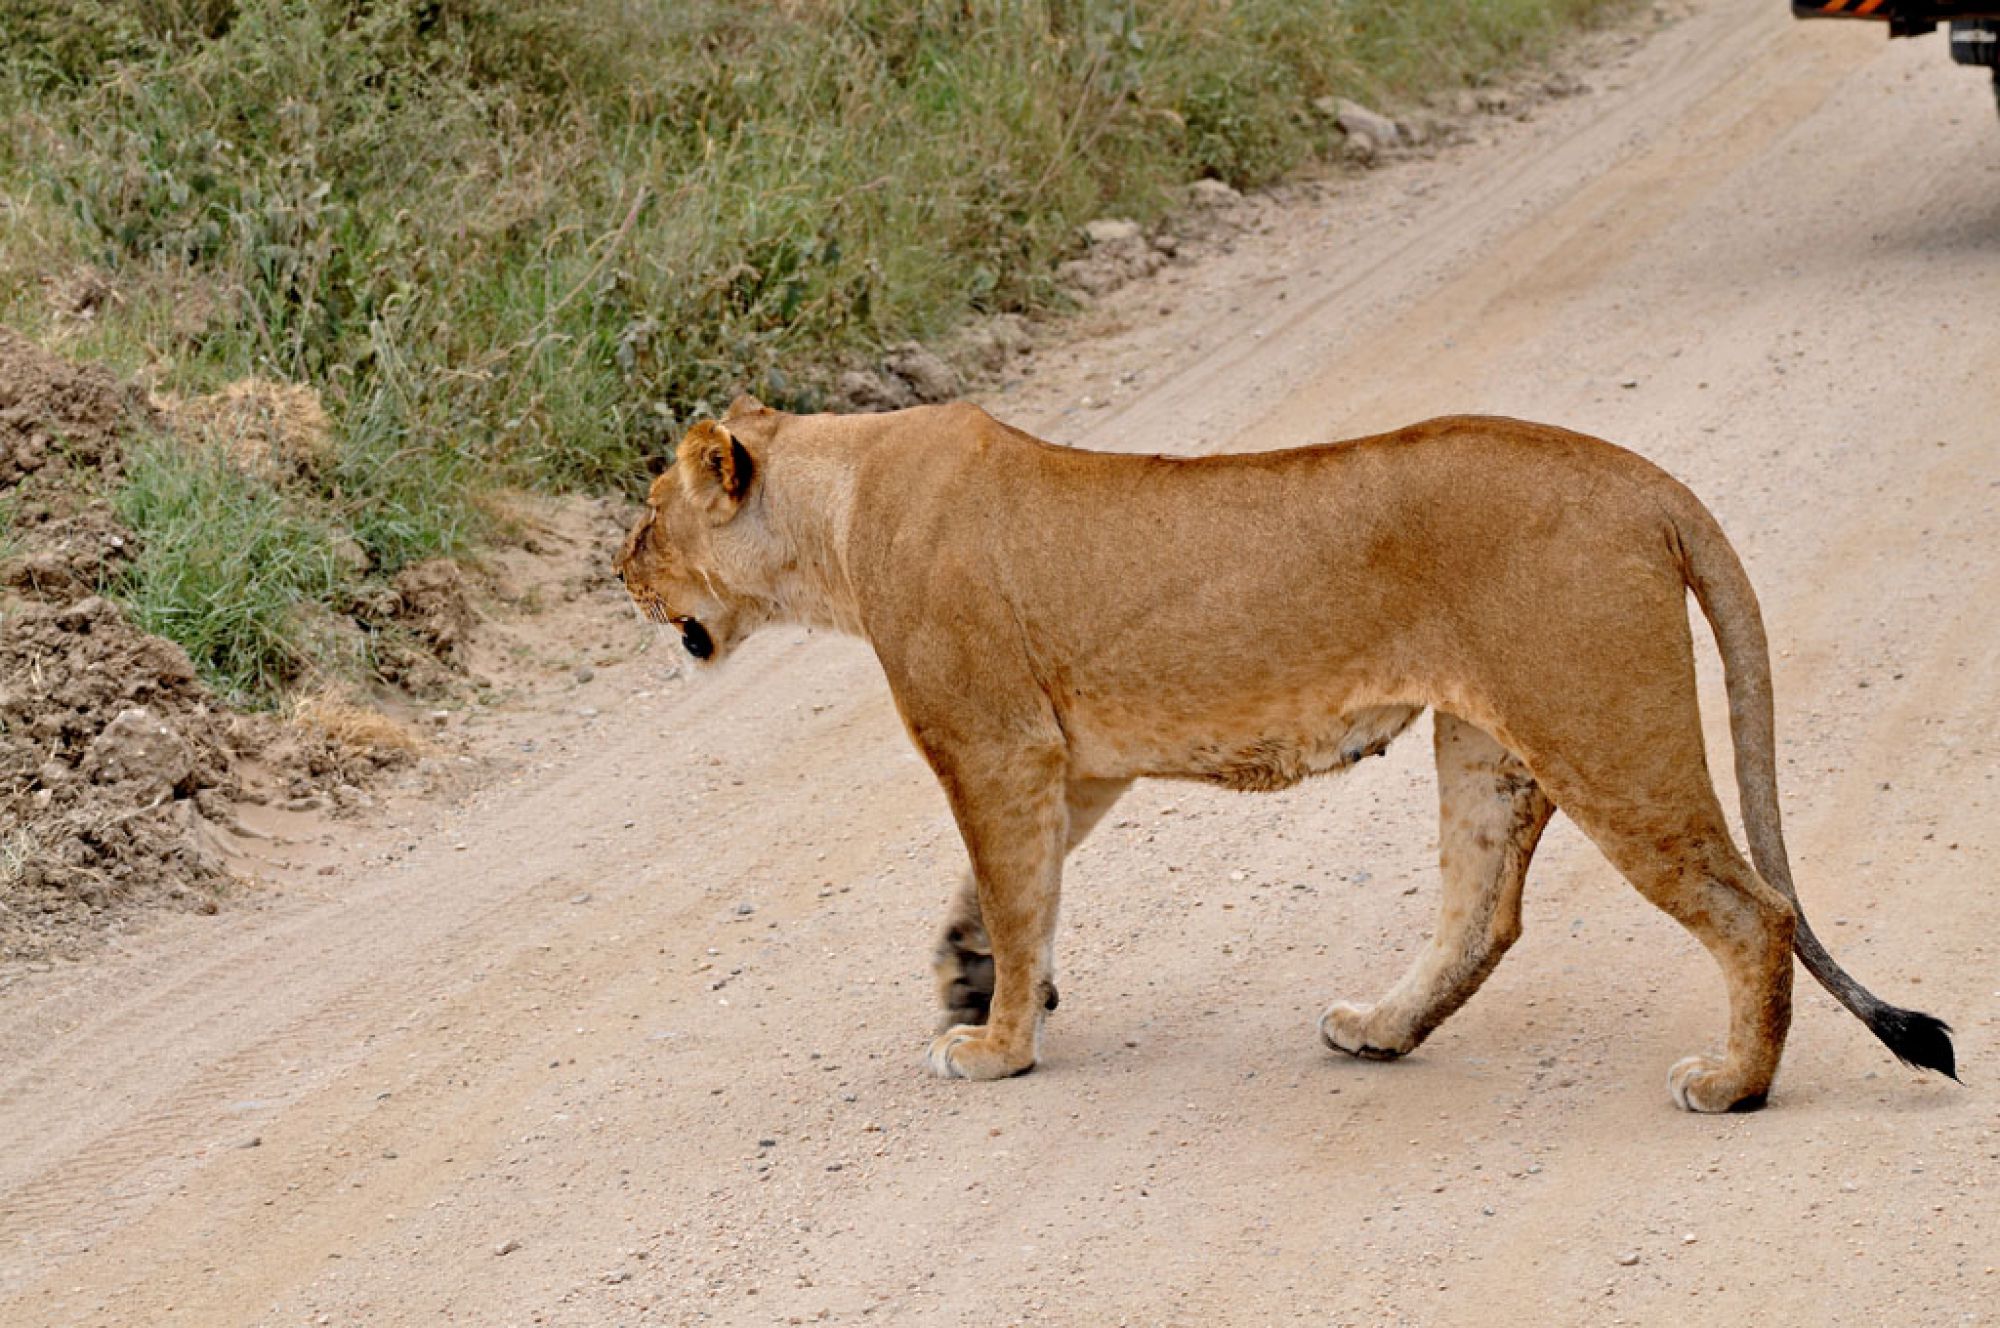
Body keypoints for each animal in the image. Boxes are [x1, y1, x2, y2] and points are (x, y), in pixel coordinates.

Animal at [614, 396, 1955, 1111]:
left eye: (647, 517)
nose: (615, 569)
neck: (836, 517)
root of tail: (1640, 479)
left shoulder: (990, 742)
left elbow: (1012, 892)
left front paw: (992, 1046)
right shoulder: (1073, 758)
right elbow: (1015, 894)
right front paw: (969, 976)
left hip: (1602, 732)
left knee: (1752, 909)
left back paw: (1731, 1082)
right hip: (1489, 744)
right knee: (1481, 914)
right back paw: (1378, 1028)